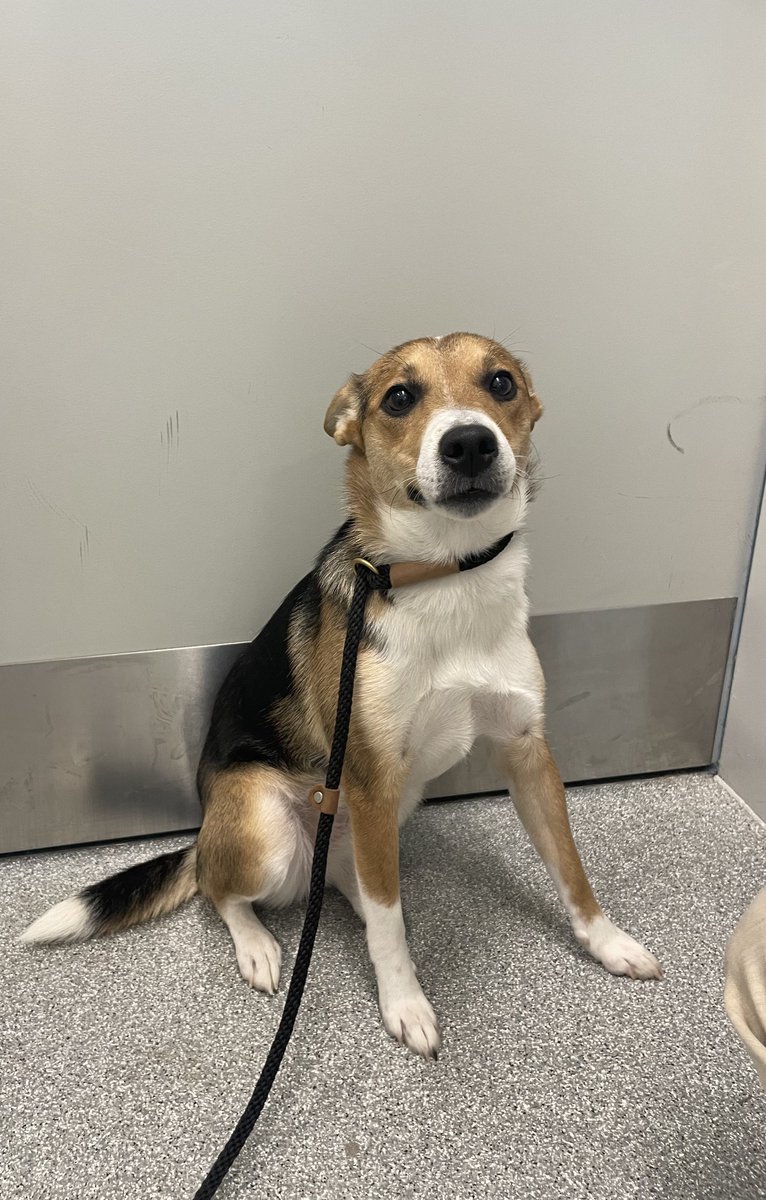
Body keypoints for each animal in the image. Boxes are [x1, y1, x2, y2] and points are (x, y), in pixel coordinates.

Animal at [21, 333, 662, 1056]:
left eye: (500, 383)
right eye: (400, 397)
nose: (469, 443)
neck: (446, 575)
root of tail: (207, 831)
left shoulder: (527, 752)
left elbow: (570, 868)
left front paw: (607, 942)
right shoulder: (373, 774)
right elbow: (387, 924)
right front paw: (404, 1001)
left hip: (387, 807)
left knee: (356, 881)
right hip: (271, 828)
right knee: (226, 890)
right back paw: (259, 947)